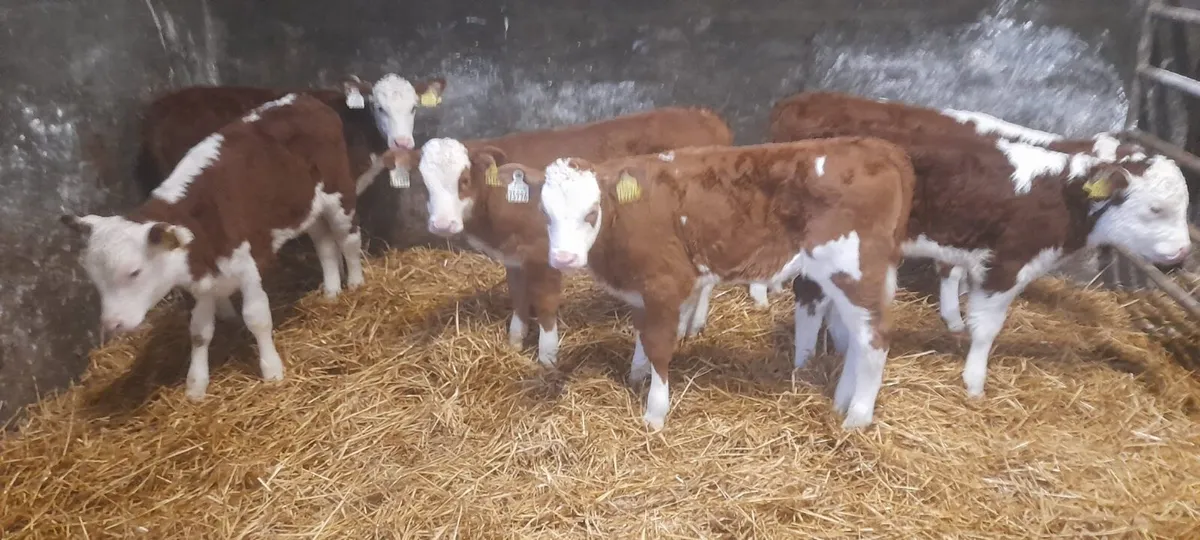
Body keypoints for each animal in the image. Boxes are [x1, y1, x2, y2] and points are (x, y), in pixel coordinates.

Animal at [61, 94, 372, 401]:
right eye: (95, 280)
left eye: (134, 272)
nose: (111, 324)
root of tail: (304, 98)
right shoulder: (203, 281)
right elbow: (199, 331)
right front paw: (196, 385)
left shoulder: (248, 266)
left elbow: (257, 317)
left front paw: (271, 369)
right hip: (306, 207)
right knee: (325, 244)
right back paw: (331, 291)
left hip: (339, 193)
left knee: (348, 239)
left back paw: (355, 284)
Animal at [377, 107, 735, 366]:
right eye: (423, 182)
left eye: (464, 179)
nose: (442, 224)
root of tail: (705, 115)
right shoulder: (515, 257)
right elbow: (519, 297)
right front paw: (515, 340)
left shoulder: (542, 253)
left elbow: (546, 304)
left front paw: (547, 357)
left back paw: (692, 324)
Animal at [535, 138, 917, 431]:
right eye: (545, 213)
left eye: (591, 212)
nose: (564, 258)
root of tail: (878, 148)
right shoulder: (643, 290)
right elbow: (642, 335)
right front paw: (635, 376)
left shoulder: (665, 282)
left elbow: (659, 345)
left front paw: (654, 414)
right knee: (857, 337)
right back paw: (841, 403)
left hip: (851, 269)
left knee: (874, 338)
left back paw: (857, 417)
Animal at [769, 91, 1193, 397]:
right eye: (1155, 209)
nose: (1182, 257)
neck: (1060, 191)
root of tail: (801, 100)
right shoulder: (1007, 262)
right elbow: (986, 327)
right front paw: (974, 382)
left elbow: (956, 279)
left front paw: (954, 323)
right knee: (808, 294)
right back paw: (805, 363)